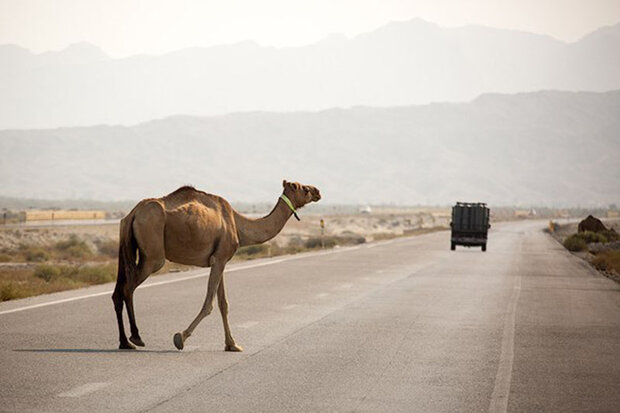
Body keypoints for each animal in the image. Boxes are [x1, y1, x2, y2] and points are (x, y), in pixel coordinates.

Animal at [112, 179, 322, 350]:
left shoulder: (220, 260)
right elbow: (209, 304)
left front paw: (232, 344)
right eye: (303, 188)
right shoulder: (220, 258)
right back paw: (136, 338)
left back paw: (125, 342)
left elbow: (223, 304)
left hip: (128, 247)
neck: (238, 224)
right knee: (128, 288)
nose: (318, 191)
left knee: (118, 292)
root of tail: (132, 214)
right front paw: (181, 337)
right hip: (153, 253)